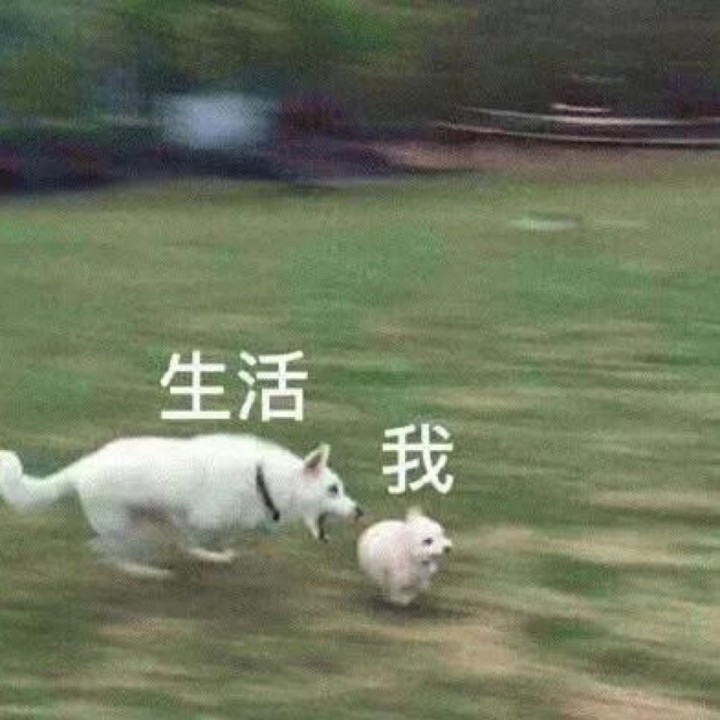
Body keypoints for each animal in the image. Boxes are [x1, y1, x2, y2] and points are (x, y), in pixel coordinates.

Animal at [0, 434, 363, 578]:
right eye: (333, 490)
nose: (361, 511)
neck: (267, 480)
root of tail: (82, 466)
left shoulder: (187, 519)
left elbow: (201, 542)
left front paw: (217, 556)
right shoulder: (199, 517)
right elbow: (195, 539)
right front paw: (210, 555)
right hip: (127, 526)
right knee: (104, 549)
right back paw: (145, 572)